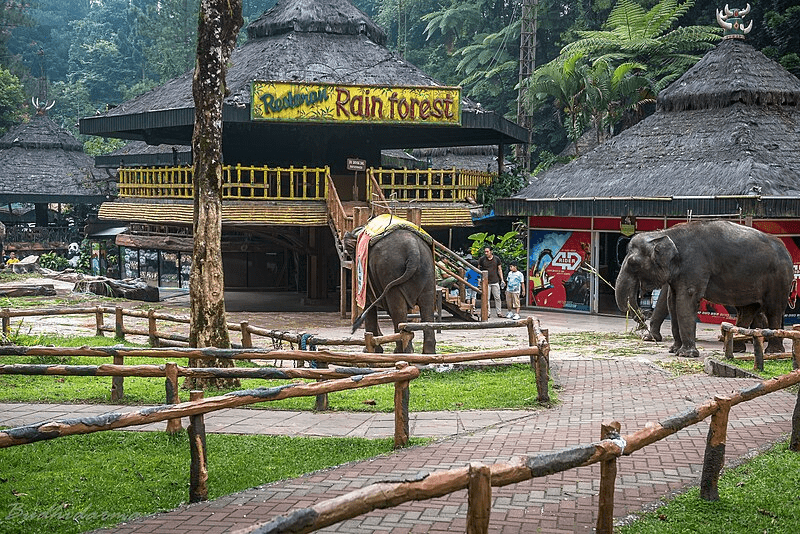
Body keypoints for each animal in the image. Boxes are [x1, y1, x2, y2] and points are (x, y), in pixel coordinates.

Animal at [616, 222, 792, 360]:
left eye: (633, 263)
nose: (642, 315)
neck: (666, 233)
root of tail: (786, 249)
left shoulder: (694, 265)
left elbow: (685, 301)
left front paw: (686, 354)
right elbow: (672, 302)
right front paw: (674, 350)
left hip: (779, 278)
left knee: (774, 310)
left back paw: (773, 352)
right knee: (747, 310)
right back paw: (735, 349)